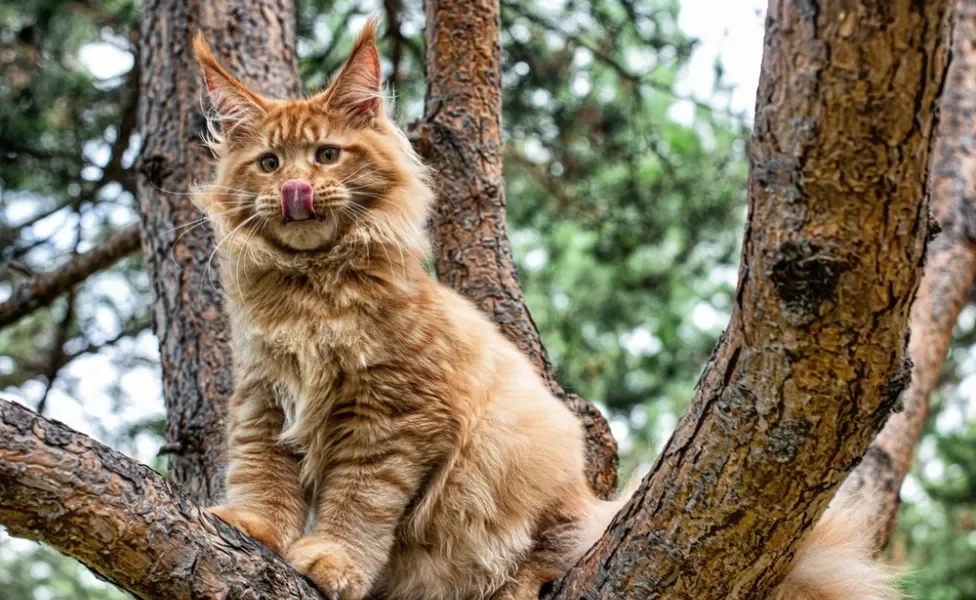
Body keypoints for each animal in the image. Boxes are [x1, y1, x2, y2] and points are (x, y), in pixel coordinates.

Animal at [191, 17, 900, 600]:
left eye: (327, 155)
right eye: (268, 163)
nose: (295, 188)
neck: (311, 295)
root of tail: (593, 502)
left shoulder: (393, 417)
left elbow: (357, 503)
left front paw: (333, 560)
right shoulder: (262, 395)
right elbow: (262, 475)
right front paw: (251, 527)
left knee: (543, 554)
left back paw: (519, 582)